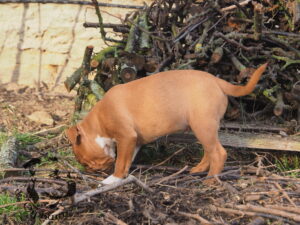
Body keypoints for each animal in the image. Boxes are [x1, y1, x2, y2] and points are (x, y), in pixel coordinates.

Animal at [66, 63, 268, 185]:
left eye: (85, 161)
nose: (90, 170)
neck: (99, 122)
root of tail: (216, 80)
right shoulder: (134, 141)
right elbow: (126, 161)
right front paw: (121, 176)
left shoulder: (126, 137)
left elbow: (120, 162)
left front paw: (112, 179)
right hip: (203, 128)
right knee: (209, 151)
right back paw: (198, 170)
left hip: (203, 126)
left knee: (218, 153)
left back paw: (210, 180)